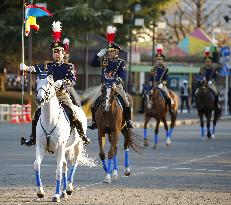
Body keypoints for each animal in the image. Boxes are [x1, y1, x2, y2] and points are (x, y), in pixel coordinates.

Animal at [34, 73, 95, 202]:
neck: (49, 121)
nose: (39, 99)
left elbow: (58, 170)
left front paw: (56, 195)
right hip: (65, 149)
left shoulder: (60, 147)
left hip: (77, 146)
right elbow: (37, 165)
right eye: (37, 83)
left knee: (73, 163)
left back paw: (69, 188)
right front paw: (40, 192)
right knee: (65, 165)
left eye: (49, 83)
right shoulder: (40, 147)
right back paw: (64, 192)